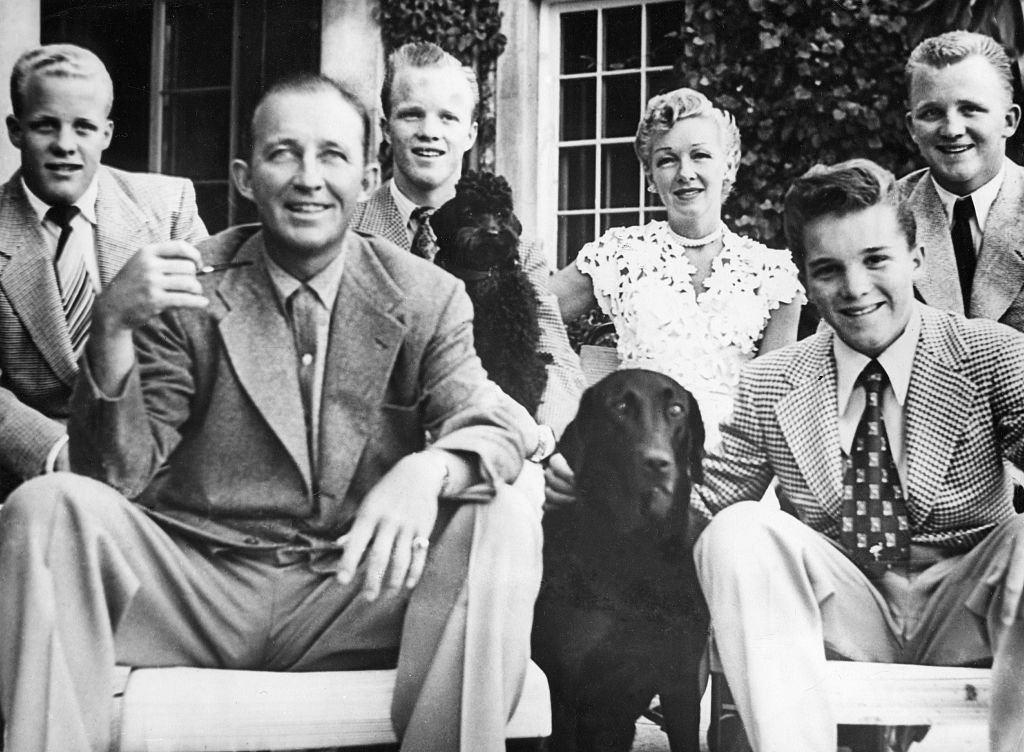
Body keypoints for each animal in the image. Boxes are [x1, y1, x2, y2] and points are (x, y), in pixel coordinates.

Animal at [432, 171, 552, 418]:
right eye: (469, 212)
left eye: (501, 213)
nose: (493, 233)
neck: (483, 273)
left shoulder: (517, 350)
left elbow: (518, 384)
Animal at [532, 370, 708, 752]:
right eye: (620, 407)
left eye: (676, 409)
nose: (657, 463)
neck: (638, 548)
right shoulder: (564, 688)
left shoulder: (682, 682)